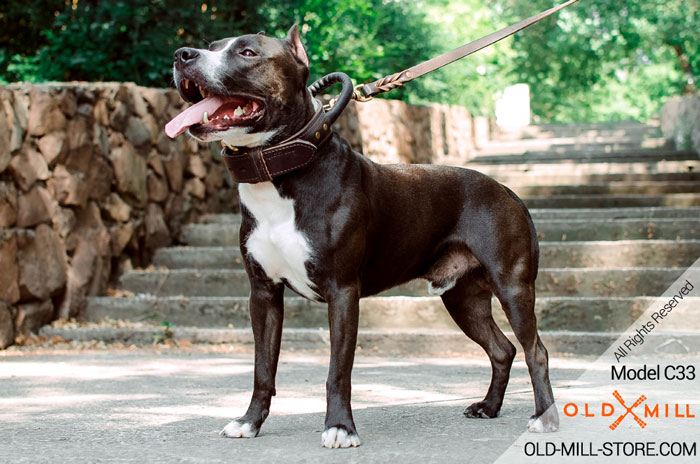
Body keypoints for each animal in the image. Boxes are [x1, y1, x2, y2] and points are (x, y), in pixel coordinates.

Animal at [164, 25, 556, 450]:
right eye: (211, 47)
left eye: (248, 52)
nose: (182, 54)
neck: (281, 172)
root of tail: (510, 193)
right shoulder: (263, 295)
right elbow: (262, 368)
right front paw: (250, 422)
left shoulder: (342, 292)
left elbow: (338, 370)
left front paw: (339, 427)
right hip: (462, 298)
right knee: (502, 349)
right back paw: (489, 406)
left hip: (512, 287)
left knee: (536, 350)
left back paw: (544, 417)